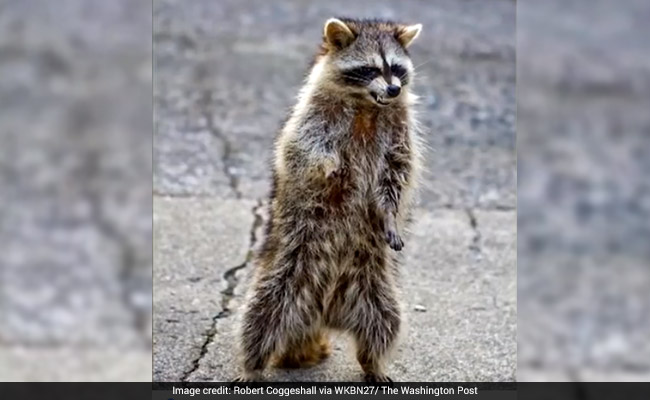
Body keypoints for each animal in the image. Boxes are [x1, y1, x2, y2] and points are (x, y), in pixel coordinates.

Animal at [236, 18, 423, 382]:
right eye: (369, 69)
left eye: (396, 68)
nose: (394, 90)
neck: (368, 104)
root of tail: (322, 315)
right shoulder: (312, 116)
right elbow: (301, 151)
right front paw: (329, 166)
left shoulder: (399, 129)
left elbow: (396, 172)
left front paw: (389, 213)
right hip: (285, 274)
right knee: (260, 318)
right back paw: (252, 365)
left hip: (374, 287)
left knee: (385, 322)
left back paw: (373, 362)